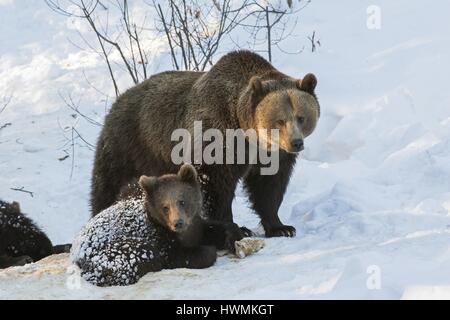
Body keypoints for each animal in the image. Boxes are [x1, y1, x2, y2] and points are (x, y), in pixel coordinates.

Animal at [90, 50, 320, 238]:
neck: (249, 134)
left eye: (301, 117)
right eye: (279, 120)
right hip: (131, 146)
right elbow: (214, 184)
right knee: (108, 186)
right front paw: (234, 228)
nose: (296, 143)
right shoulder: (216, 136)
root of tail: (118, 100)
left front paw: (281, 227)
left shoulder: (272, 155)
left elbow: (269, 186)